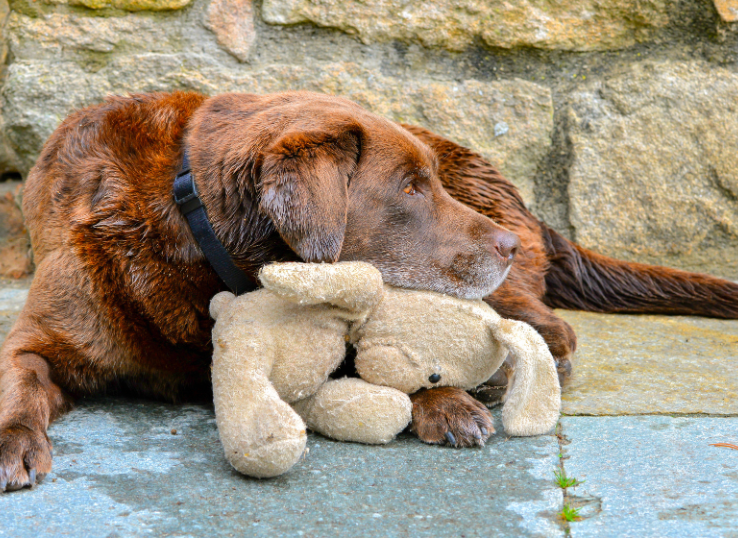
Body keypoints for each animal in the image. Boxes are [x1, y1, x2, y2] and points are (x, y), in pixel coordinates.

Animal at [1, 91, 736, 490]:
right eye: (410, 189)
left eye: (427, 182)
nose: (500, 246)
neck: (193, 229)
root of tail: (524, 211)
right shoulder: (39, 337)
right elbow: (20, 381)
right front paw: (13, 444)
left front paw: (444, 402)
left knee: (543, 324)